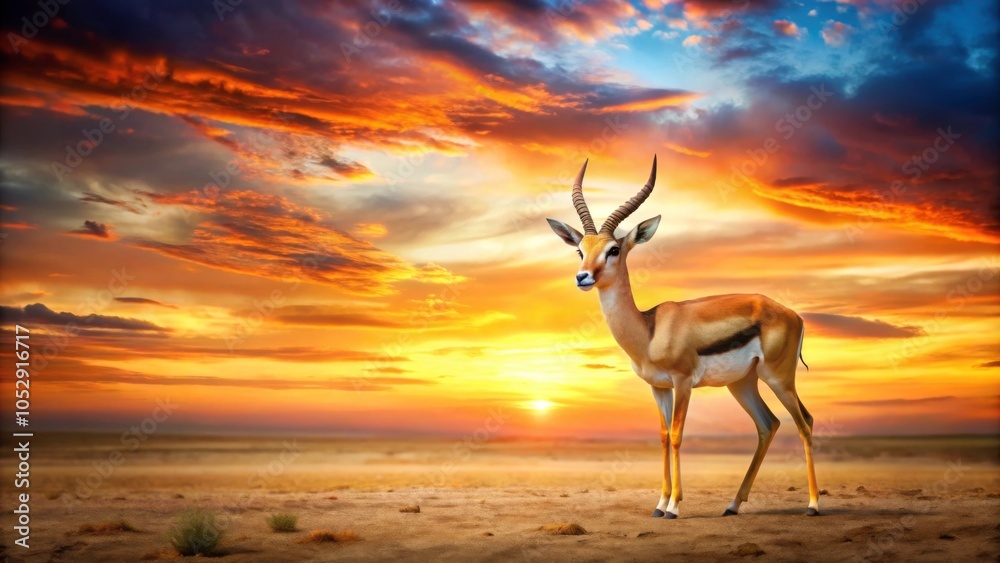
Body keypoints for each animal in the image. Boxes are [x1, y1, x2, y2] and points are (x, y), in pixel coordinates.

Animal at [546, 157, 819, 519]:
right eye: (580, 250)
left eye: (614, 249)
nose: (583, 277)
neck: (648, 331)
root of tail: (793, 314)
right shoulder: (658, 387)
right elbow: (663, 436)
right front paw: (659, 505)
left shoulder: (683, 382)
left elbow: (676, 435)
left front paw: (674, 506)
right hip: (742, 383)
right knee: (768, 424)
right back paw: (732, 505)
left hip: (779, 378)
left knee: (804, 422)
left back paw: (813, 505)